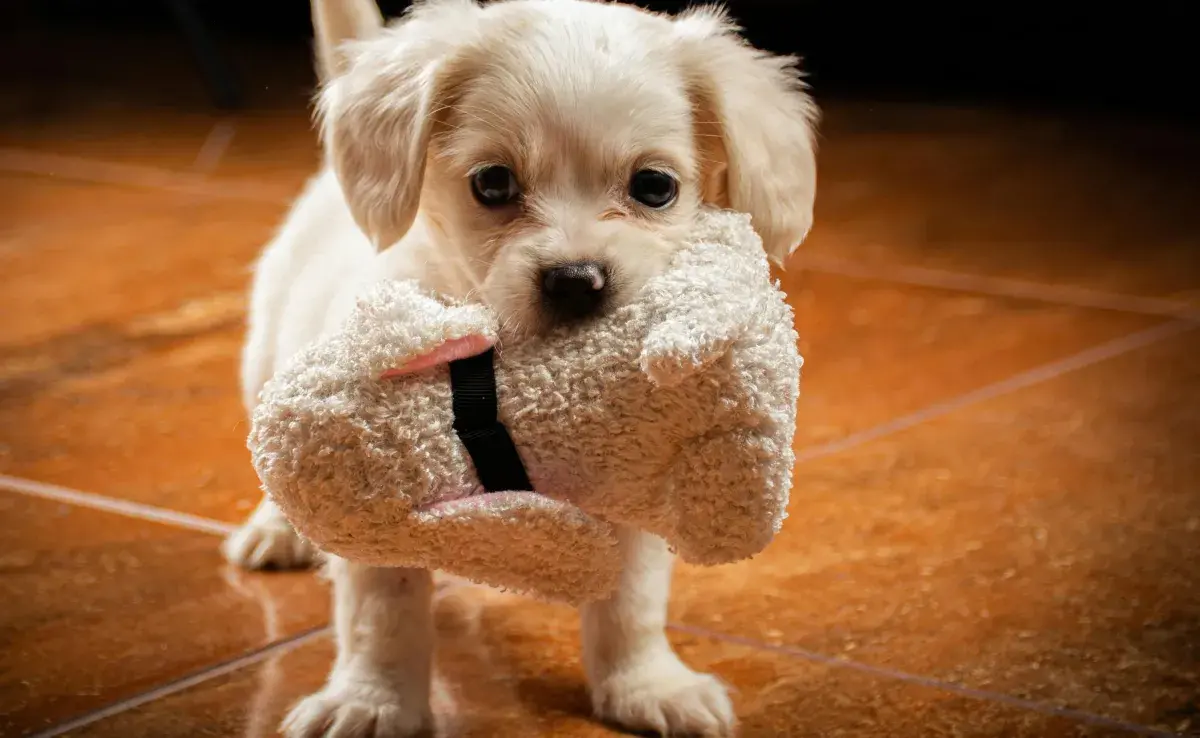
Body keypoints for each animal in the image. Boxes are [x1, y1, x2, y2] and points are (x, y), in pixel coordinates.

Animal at [224, 2, 816, 734]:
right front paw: (373, 701)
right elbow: (382, 613)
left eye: (655, 187)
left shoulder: (639, 497)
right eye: (493, 183)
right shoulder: (375, 505)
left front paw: (646, 686)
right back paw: (275, 529)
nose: (575, 280)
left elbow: (630, 605)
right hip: (264, 358)